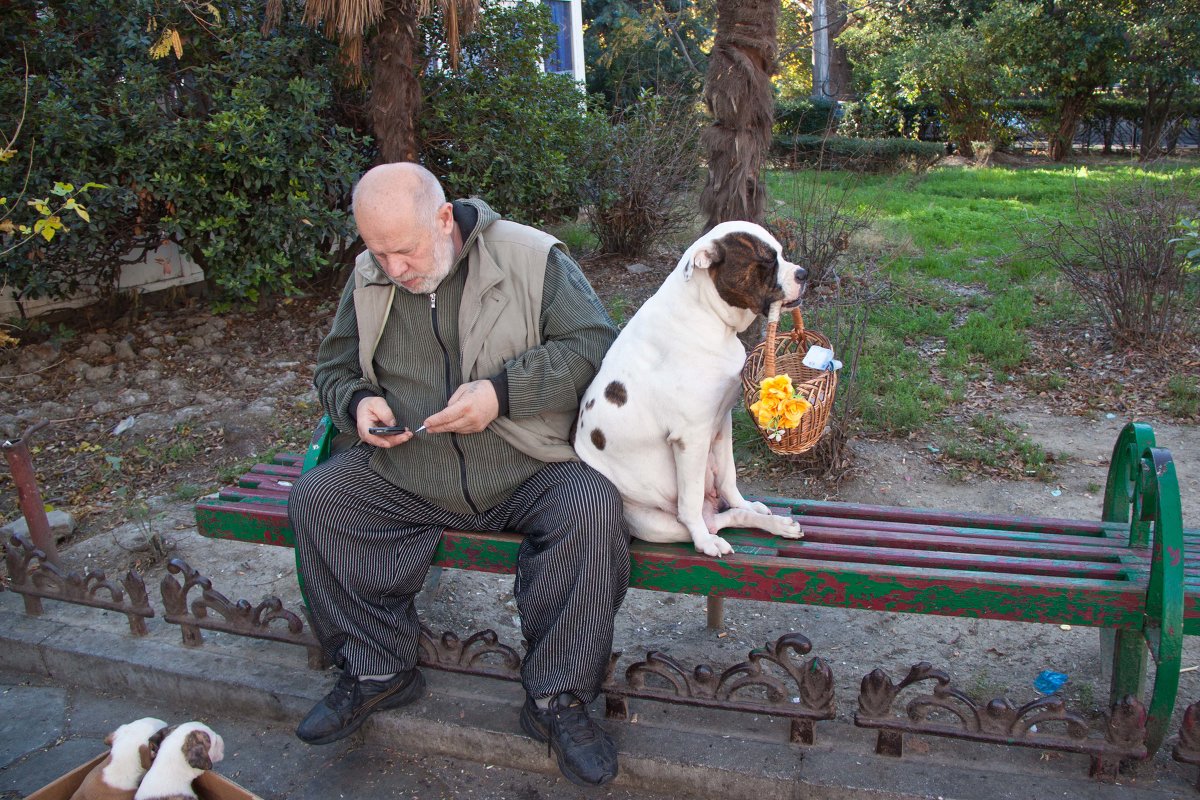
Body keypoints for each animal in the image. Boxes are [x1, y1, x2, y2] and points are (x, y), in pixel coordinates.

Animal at [578, 219, 811, 556]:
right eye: (767, 260)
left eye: (781, 253)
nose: (804, 274)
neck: (709, 318)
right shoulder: (691, 437)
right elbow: (689, 501)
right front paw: (703, 541)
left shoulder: (722, 421)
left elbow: (729, 476)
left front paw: (746, 504)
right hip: (655, 523)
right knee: (698, 519)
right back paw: (708, 538)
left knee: (728, 515)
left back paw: (774, 522)